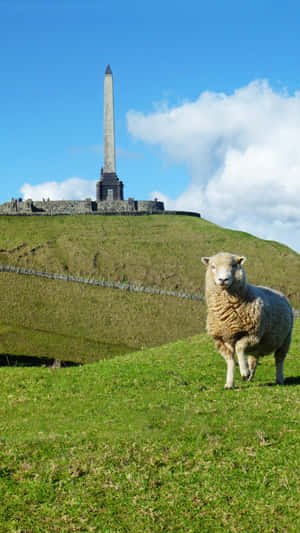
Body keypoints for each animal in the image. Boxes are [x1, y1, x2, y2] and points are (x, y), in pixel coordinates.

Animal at [200, 251, 294, 388]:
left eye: (233, 265)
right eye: (213, 266)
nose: (223, 279)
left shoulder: (254, 334)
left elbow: (239, 347)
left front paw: (244, 372)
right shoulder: (220, 340)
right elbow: (230, 361)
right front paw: (230, 383)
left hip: (286, 339)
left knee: (279, 360)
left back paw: (279, 379)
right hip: (259, 346)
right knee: (254, 359)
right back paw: (250, 375)